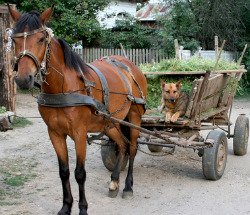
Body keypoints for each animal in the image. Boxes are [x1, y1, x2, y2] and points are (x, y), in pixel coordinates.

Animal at [8, 5, 147, 215]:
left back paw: (128, 186)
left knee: (131, 148)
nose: (24, 79)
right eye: (14, 40)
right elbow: (64, 171)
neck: (63, 87)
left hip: (134, 117)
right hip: (109, 123)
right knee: (122, 145)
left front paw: (82, 208)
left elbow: (79, 173)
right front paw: (66, 206)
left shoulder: (79, 133)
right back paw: (114, 182)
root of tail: (129, 65)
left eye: (41, 39)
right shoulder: (55, 133)